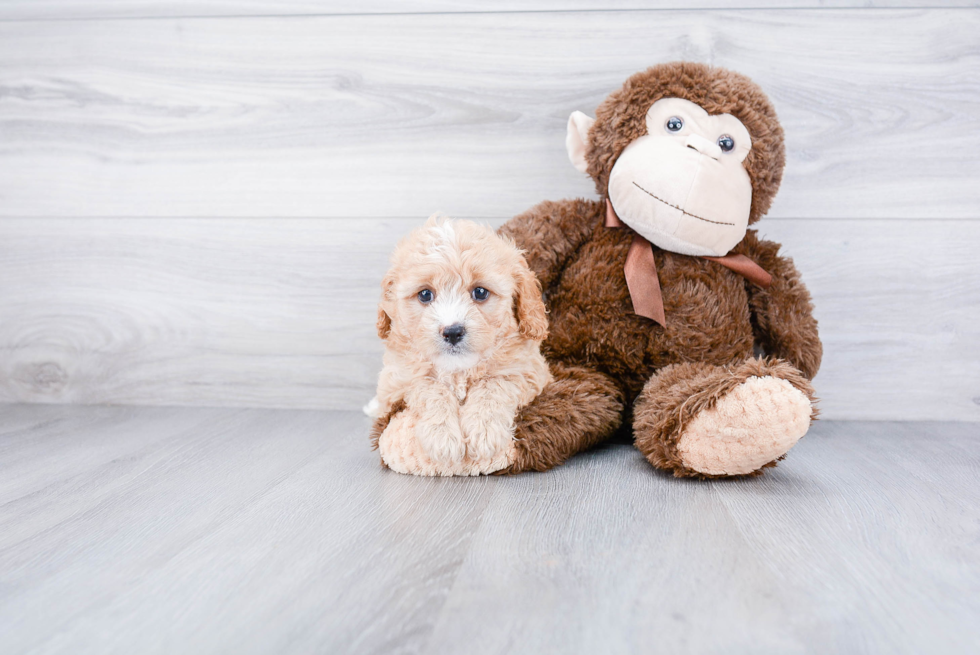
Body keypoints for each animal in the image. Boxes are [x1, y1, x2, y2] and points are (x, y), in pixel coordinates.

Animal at [370, 215, 552, 476]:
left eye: (480, 292)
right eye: (425, 294)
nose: (453, 332)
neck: (459, 370)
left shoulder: (529, 373)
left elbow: (494, 384)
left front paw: (484, 432)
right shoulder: (397, 384)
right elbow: (429, 386)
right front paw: (442, 437)